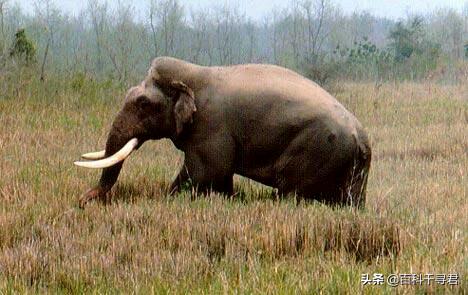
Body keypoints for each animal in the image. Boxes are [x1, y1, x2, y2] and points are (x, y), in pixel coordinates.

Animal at [75, 57, 372, 208]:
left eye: (143, 103)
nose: (83, 200)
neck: (194, 74)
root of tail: (360, 138)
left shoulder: (211, 127)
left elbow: (206, 173)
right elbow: (220, 178)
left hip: (314, 151)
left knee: (289, 193)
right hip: (352, 173)